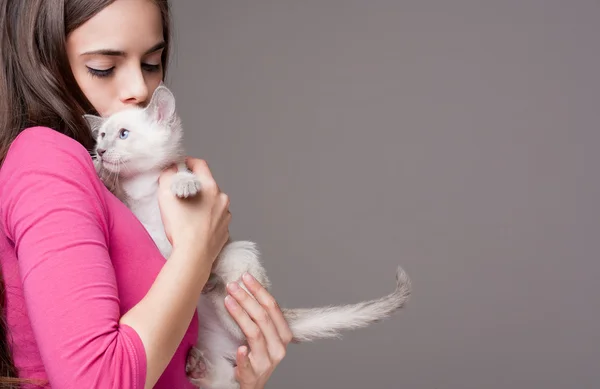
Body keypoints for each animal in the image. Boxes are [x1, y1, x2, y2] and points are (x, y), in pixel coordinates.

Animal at [83, 84, 412, 388]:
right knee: (223, 379)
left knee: (238, 320)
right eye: (102, 136)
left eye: (124, 134)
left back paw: (215, 287)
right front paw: (99, 171)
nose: (101, 150)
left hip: (239, 252)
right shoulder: (131, 208)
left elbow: (180, 172)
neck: (141, 183)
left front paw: (185, 185)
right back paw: (197, 364)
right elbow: (119, 193)